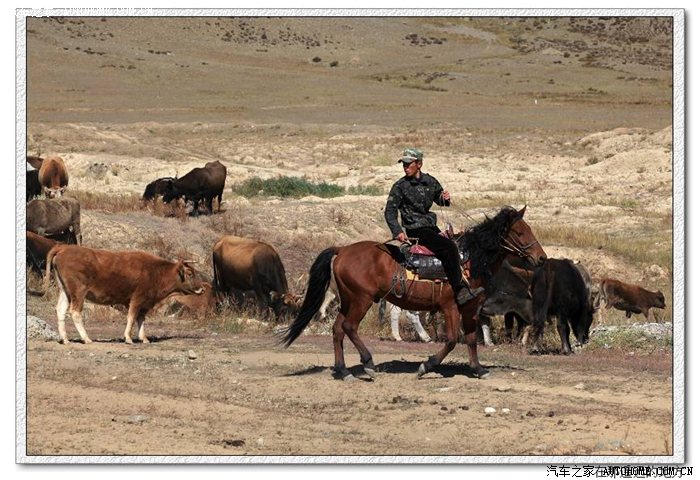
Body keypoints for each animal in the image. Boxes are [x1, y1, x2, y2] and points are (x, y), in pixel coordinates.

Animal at [282, 205, 547, 381]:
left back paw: (343, 370)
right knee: (349, 327)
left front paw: (479, 369)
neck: (469, 260)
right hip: (361, 300)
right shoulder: (451, 307)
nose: (541, 258)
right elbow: (452, 340)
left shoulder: (470, 308)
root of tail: (342, 249)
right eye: (520, 232)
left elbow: (471, 339)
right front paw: (426, 366)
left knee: (338, 329)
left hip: (348, 300)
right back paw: (368, 364)